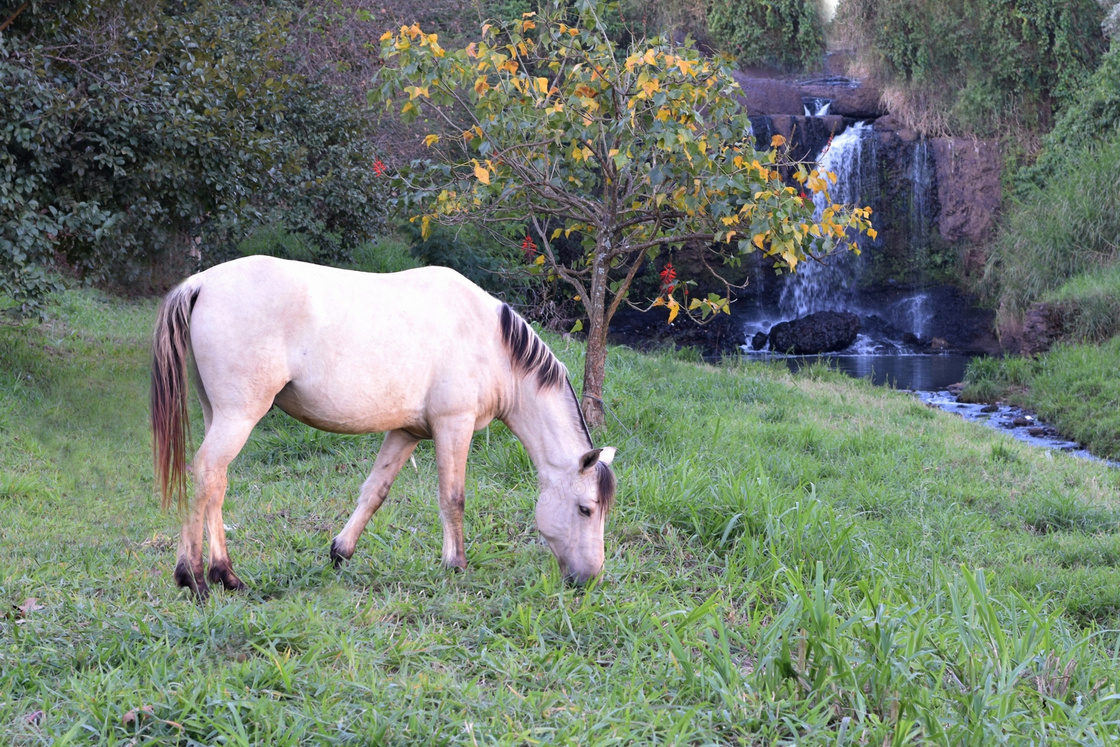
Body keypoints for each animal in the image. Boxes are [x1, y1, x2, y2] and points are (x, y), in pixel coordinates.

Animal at [150, 254, 618, 600]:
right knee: (205, 473)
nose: (589, 579)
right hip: (239, 417)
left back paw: (226, 576)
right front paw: (456, 565)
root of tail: (202, 283)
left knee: (216, 483)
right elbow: (453, 497)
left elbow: (374, 492)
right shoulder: (454, 426)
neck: (492, 344)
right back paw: (193, 578)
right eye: (585, 509)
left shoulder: (408, 432)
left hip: (218, 414)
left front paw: (340, 552)